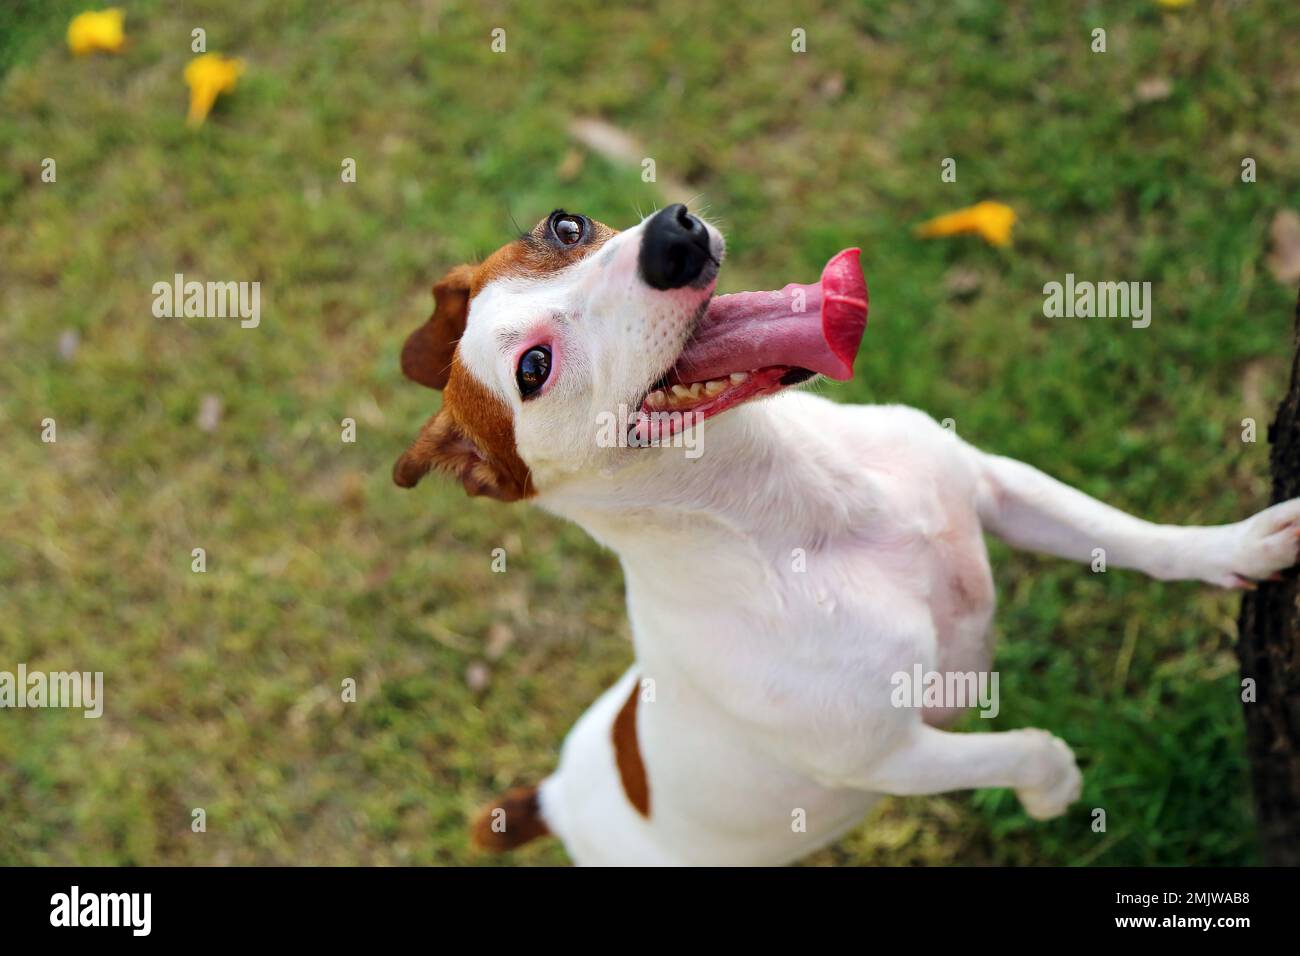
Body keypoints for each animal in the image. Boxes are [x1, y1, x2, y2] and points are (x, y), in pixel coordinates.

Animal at [392, 204, 1300, 868]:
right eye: (532, 370)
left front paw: (1238, 546)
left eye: (565, 225)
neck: (801, 503)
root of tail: (554, 794)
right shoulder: (890, 756)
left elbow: (1134, 536)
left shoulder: (997, 487)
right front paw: (1055, 789)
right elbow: (1024, 751)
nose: (672, 235)